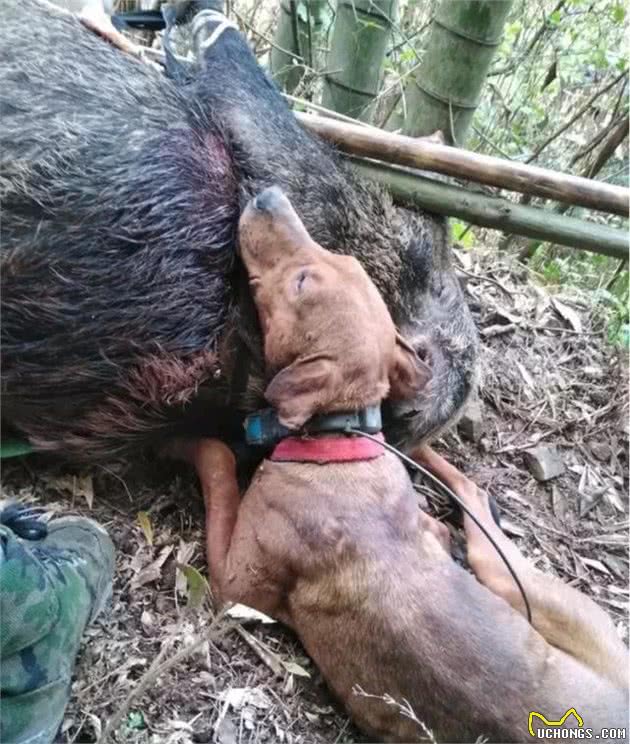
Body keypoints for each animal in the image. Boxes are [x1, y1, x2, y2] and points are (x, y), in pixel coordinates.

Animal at [180, 189, 628, 740]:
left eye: (301, 282)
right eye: (344, 261)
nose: (268, 196)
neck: (340, 441)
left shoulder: (234, 582)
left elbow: (218, 462)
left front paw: (178, 442)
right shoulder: (424, 528)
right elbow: (433, 527)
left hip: (533, 593)